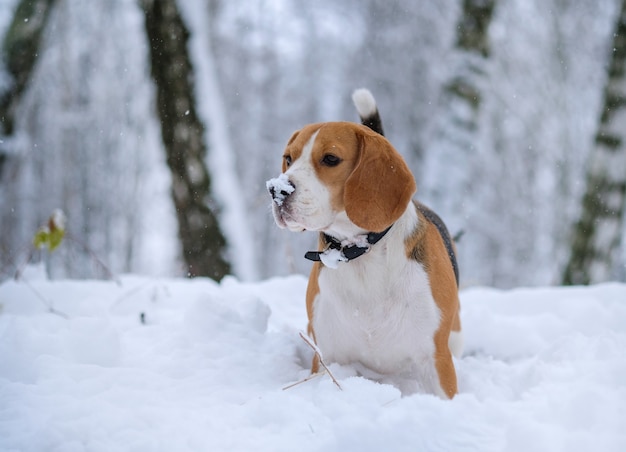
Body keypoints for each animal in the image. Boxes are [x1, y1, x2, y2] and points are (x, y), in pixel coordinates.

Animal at [266, 89, 460, 400]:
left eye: (330, 158)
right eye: (288, 158)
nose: (276, 190)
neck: (359, 253)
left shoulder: (436, 360)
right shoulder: (328, 357)